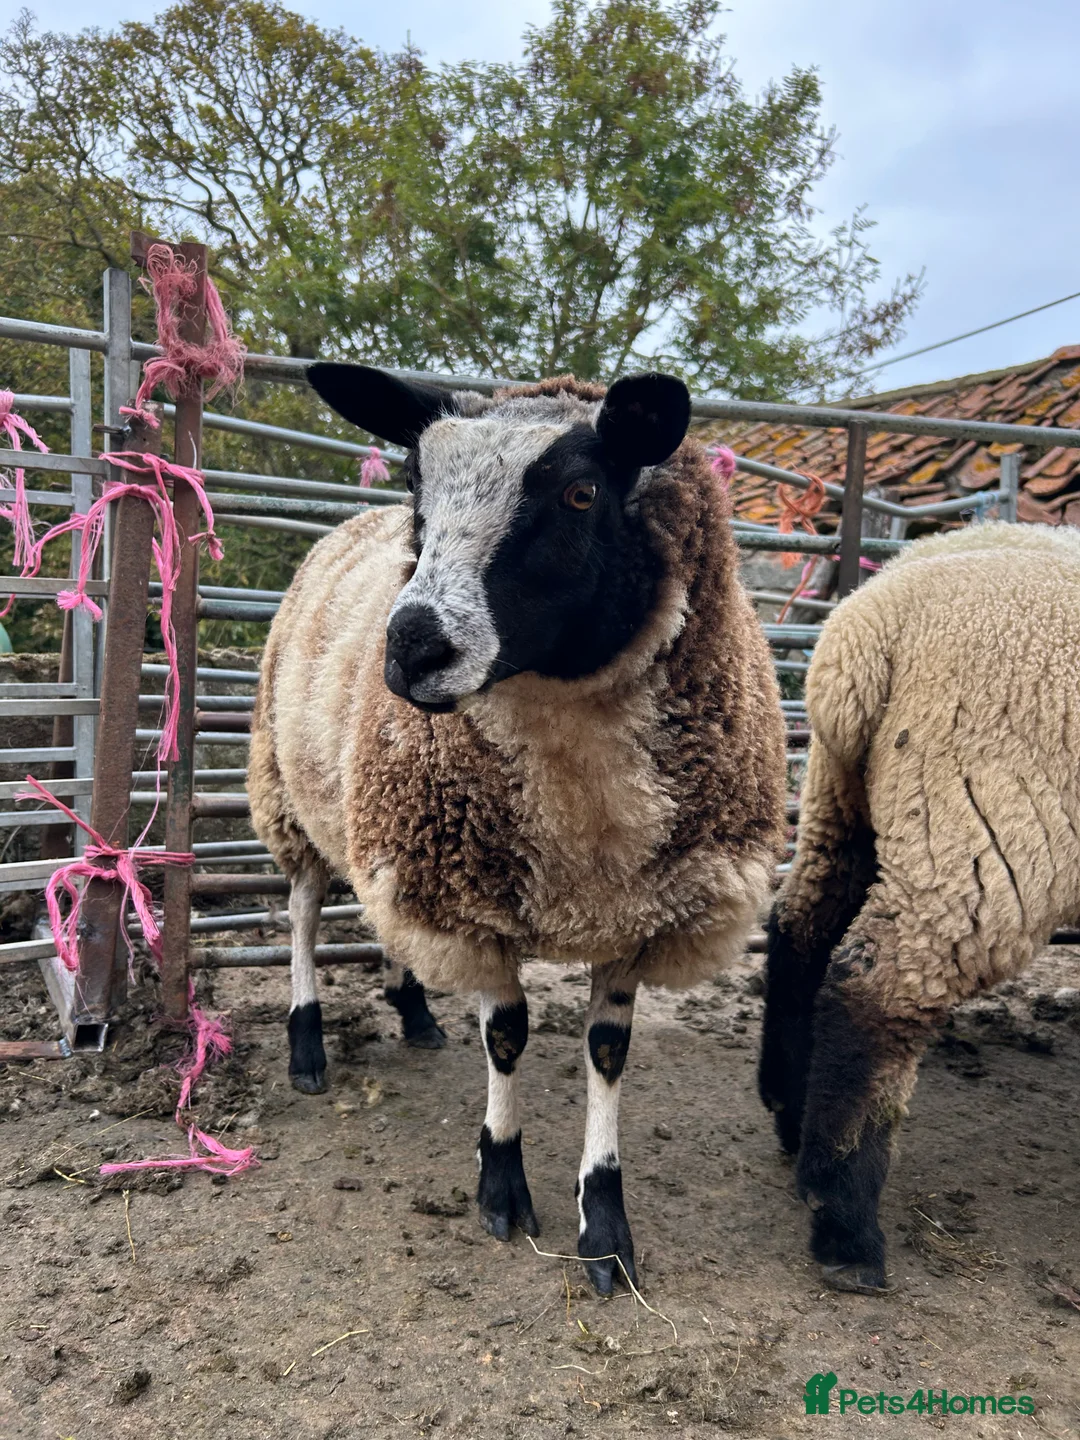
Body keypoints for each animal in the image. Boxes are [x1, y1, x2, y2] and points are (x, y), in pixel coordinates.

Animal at [249, 365, 786, 1292]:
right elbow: (506, 1035)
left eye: (581, 492)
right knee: (305, 917)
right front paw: (500, 1183)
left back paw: (416, 1013)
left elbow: (608, 1050)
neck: (583, 815)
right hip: (293, 798)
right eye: (417, 489)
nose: (410, 649)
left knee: (389, 926)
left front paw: (604, 1223)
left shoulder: (641, 912)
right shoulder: (475, 896)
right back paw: (307, 1046)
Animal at [759, 521, 1080, 1293]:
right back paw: (844, 1225)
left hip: (844, 799)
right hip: (985, 826)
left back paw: (789, 1112)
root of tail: (868, 630)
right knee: (876, 990)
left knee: (801, 927)